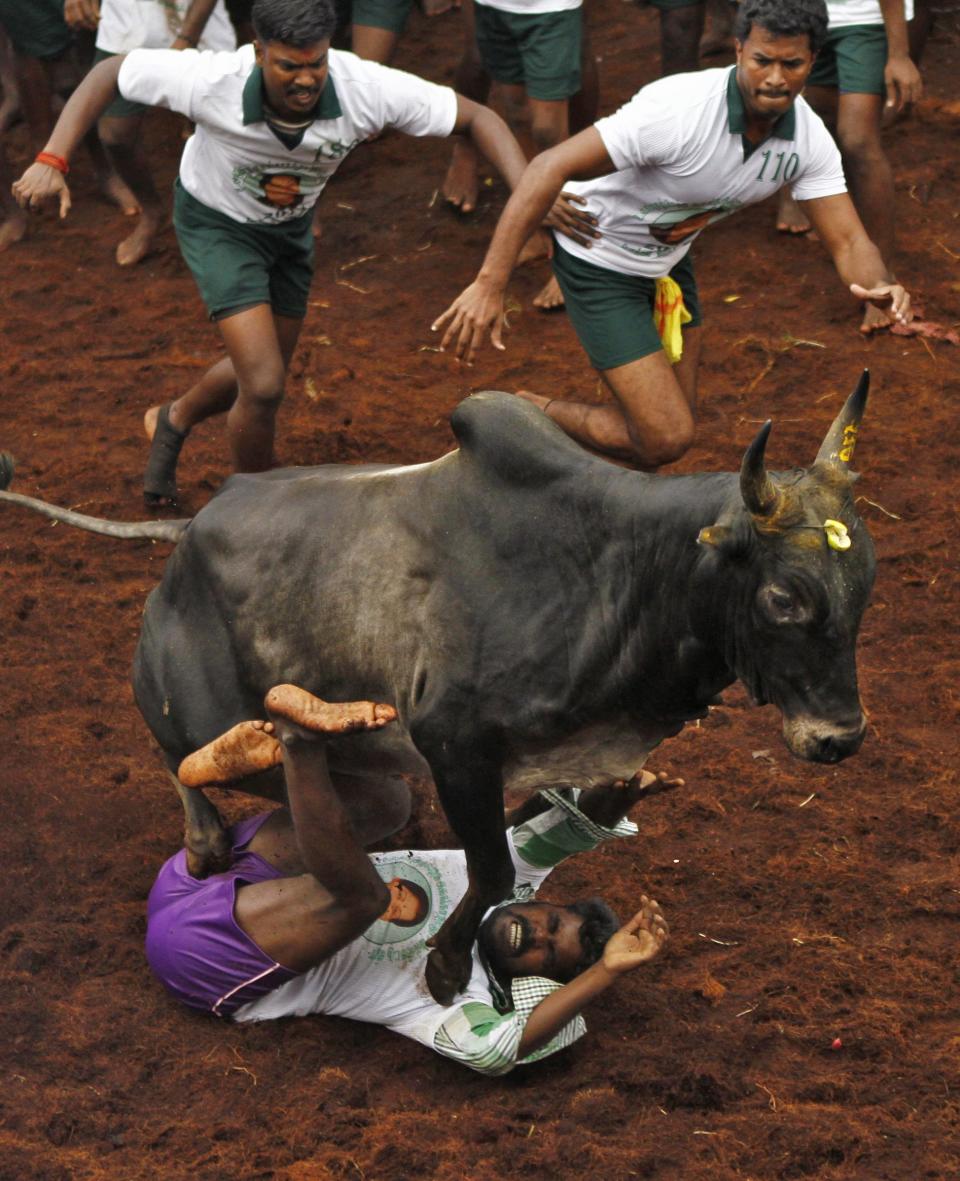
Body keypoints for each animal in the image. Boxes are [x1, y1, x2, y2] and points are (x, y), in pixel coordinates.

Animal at [0, 373, 878, 1001]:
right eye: (784, 597)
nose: (840, 739)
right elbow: (490, 868)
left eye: (864, 588)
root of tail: (189, 531)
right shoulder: (454, 743)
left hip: (370, 776)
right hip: (190, 711)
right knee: (186, 764)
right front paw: (448, 965)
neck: (622, 573)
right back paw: (211, 823)